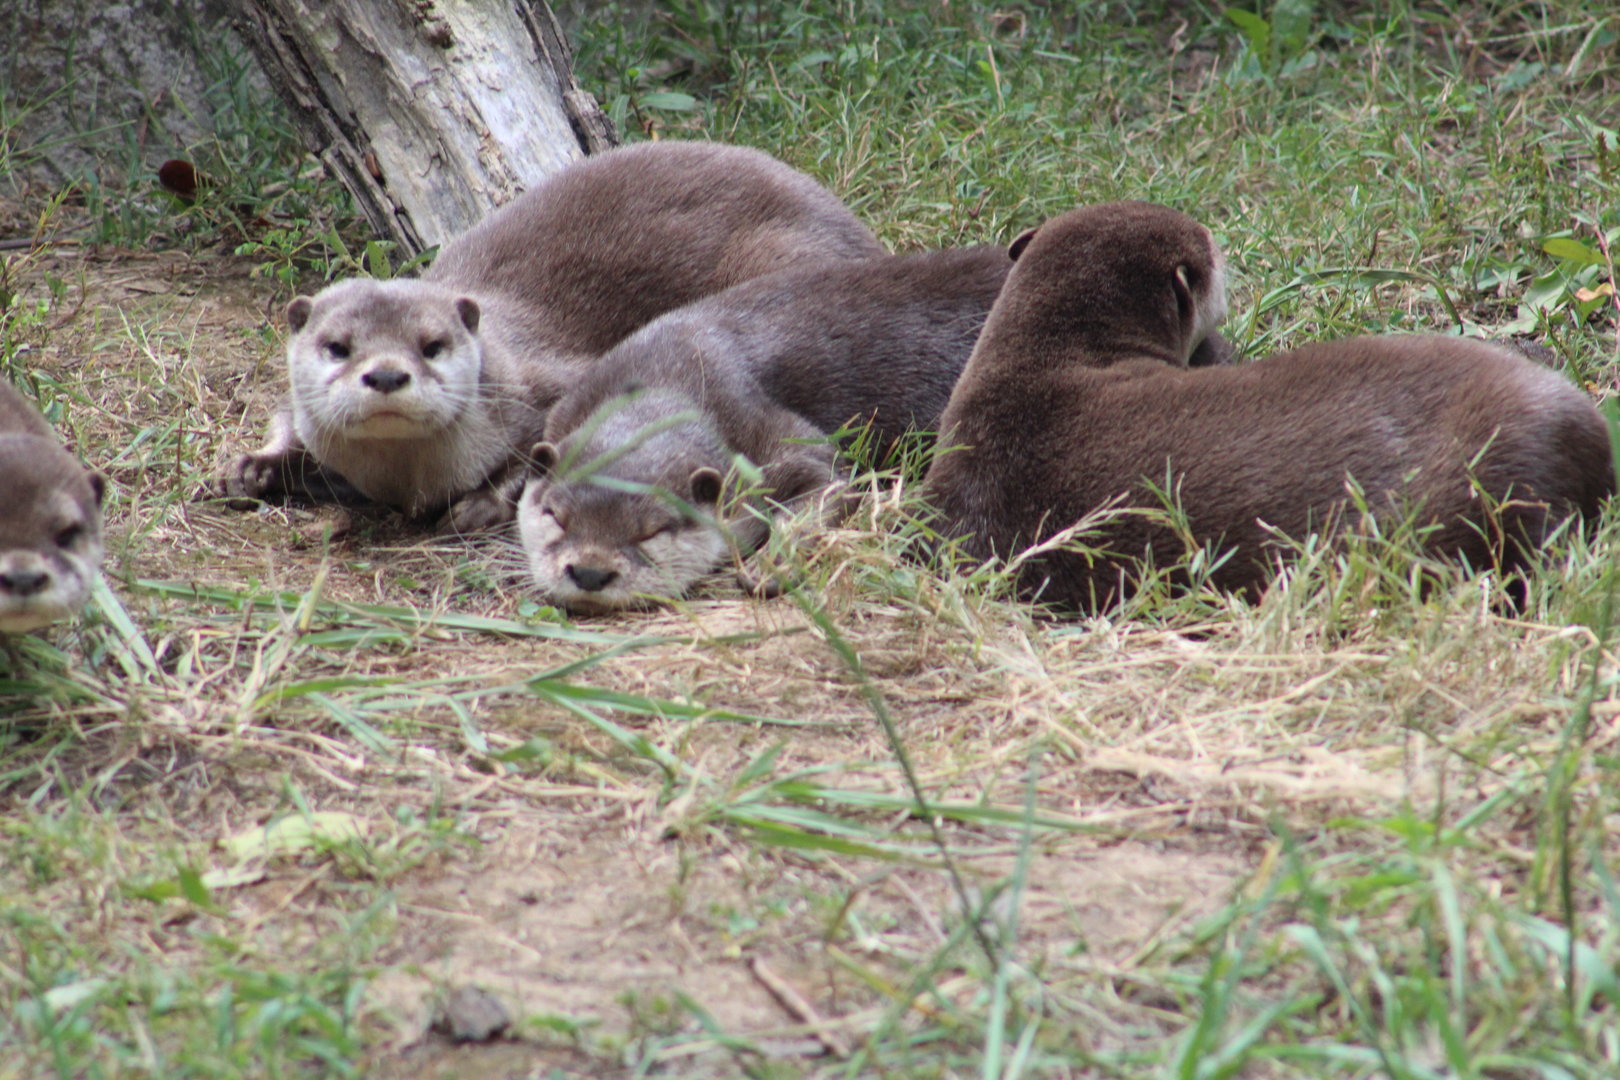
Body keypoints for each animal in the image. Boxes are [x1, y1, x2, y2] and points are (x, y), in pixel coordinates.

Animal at [218, 140, 887, 530]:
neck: (407, 478)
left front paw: (486, 502)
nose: (385, 374)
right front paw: (252, 468)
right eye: (337, 346)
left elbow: (542, 445)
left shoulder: (546, 383)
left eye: (432, 345)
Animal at [515, 242, 1238, 613]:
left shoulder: (766, 433)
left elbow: (827, 484)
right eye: (554, 516)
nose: (589, 573)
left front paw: (770, 565)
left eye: (653, 530)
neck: (667, 379)